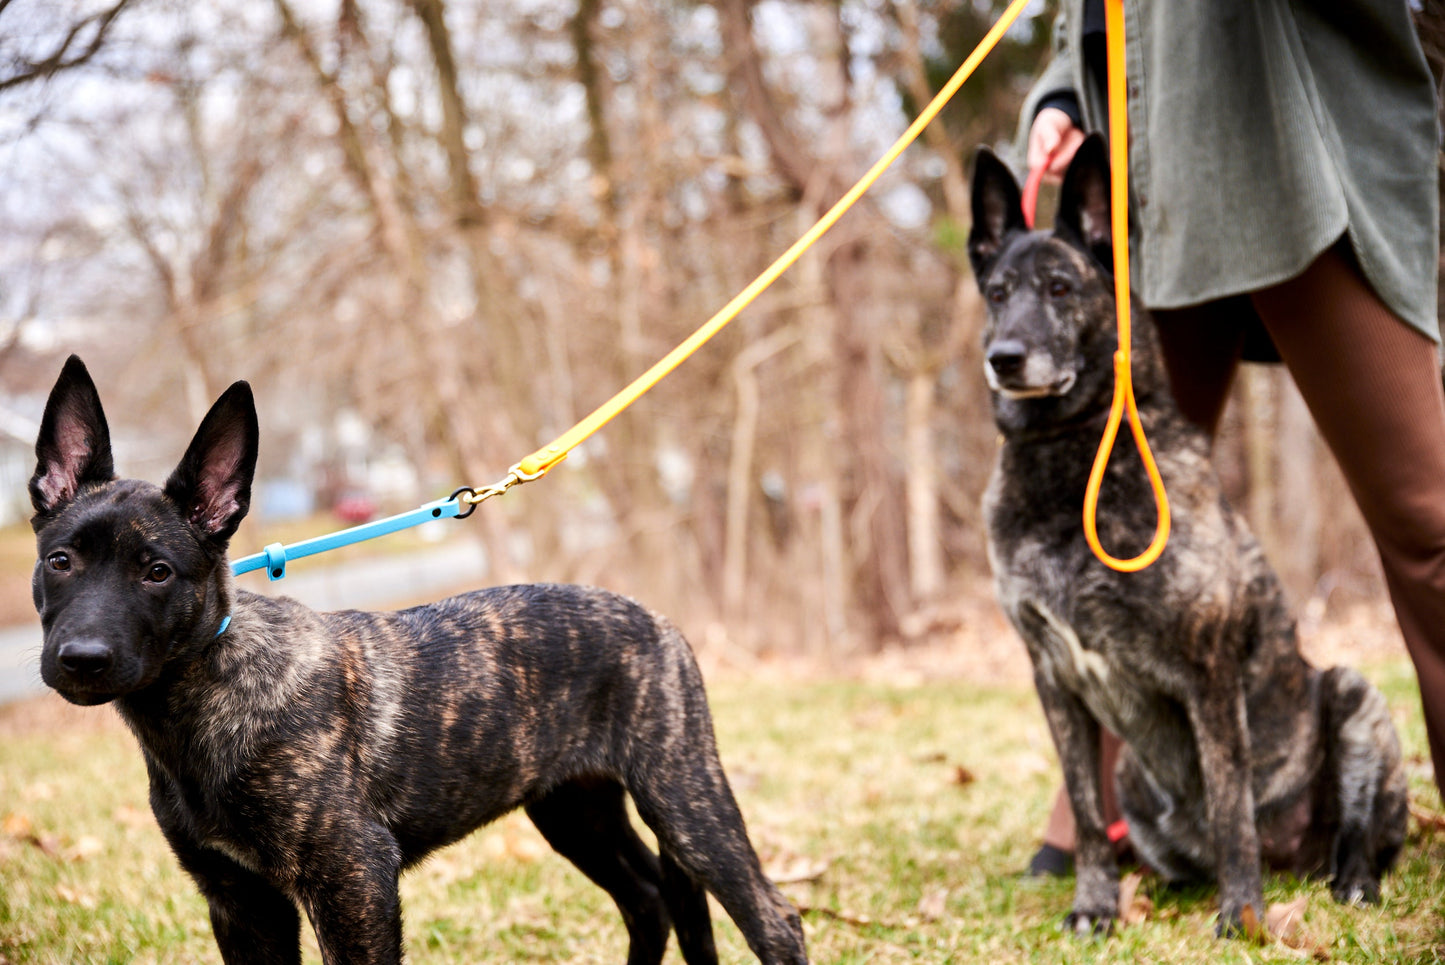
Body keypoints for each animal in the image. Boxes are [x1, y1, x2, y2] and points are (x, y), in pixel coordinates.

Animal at [28, 353, 809, 965]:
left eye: (157, 572)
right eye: (61, 561)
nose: (81, 660)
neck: (209, 693)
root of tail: (655, 618)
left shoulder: (354, 881)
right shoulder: (240, 904)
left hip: (683, 798)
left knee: (774, 920)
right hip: (575, 810)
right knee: (650, 897)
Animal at [965, 135, 1404, 936]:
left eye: (1061, 289)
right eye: (999, 293)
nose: (1004, 358)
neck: (1070, 453)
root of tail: (1297, 860)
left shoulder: (1208, 672)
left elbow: (1232, 809)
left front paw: (1242, 914)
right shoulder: (1052, 680)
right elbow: (1085, 813)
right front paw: (1094, 906)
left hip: (1355, 698)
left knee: (1355, 836)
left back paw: (1345, 879)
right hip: (1133, 779)